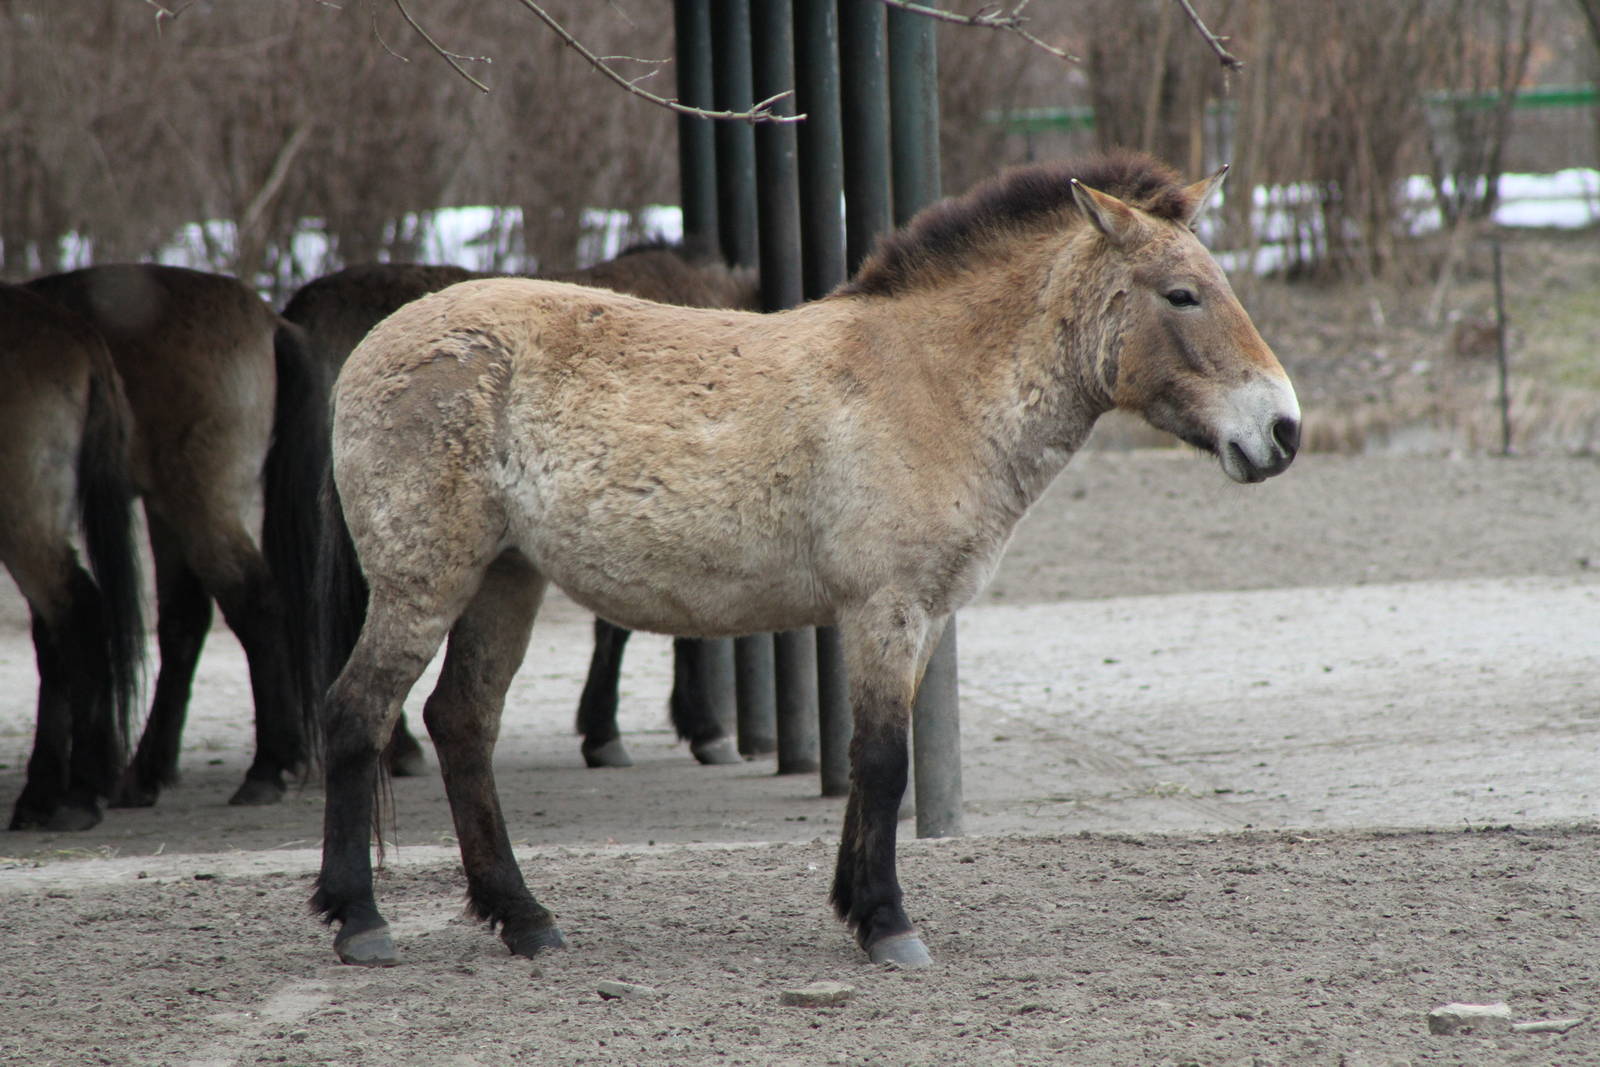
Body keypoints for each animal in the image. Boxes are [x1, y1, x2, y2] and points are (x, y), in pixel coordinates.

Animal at [1, 285, 145, 831]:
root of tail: (76, 331)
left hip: (23, 517)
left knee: (78, 613)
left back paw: (77, 793)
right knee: (56, 632)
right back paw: (43, 793)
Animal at [23, 264, 330, 811]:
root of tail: (269, 320)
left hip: (198, 502)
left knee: (253, 603)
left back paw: (265, 767)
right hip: (168, 506)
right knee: (185, 621)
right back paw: (144, 772)